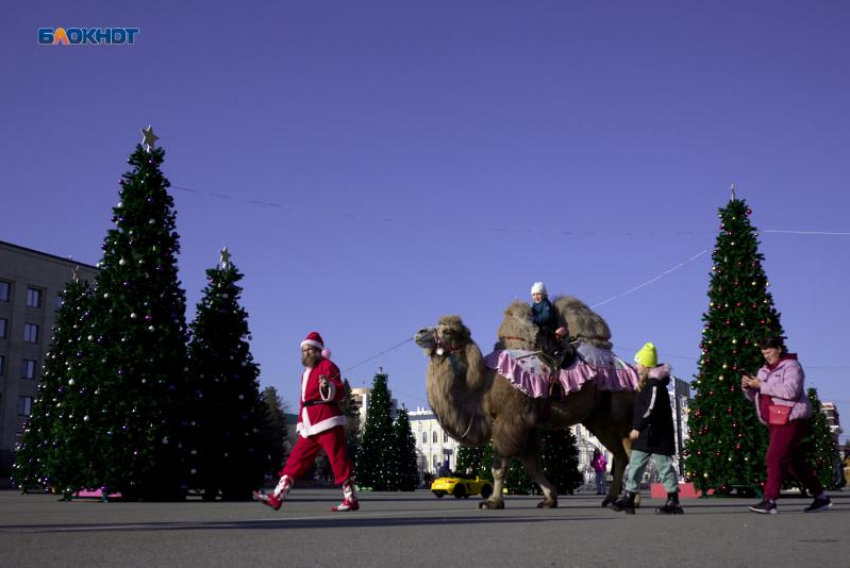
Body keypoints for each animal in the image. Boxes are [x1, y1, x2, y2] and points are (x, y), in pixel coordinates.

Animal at [414, 298, 632, 510]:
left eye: (448, 331)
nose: (420, 333)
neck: (484, 386)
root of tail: (629, 367)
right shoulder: (526, 425)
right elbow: (532, 465)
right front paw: (549, 499)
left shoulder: (510, 420)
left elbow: (499, 467)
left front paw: (492, 501)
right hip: (598, 419)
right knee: (620, 454)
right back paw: (612, 498)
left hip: (618, 414)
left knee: (629, 450)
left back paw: (627, 500)